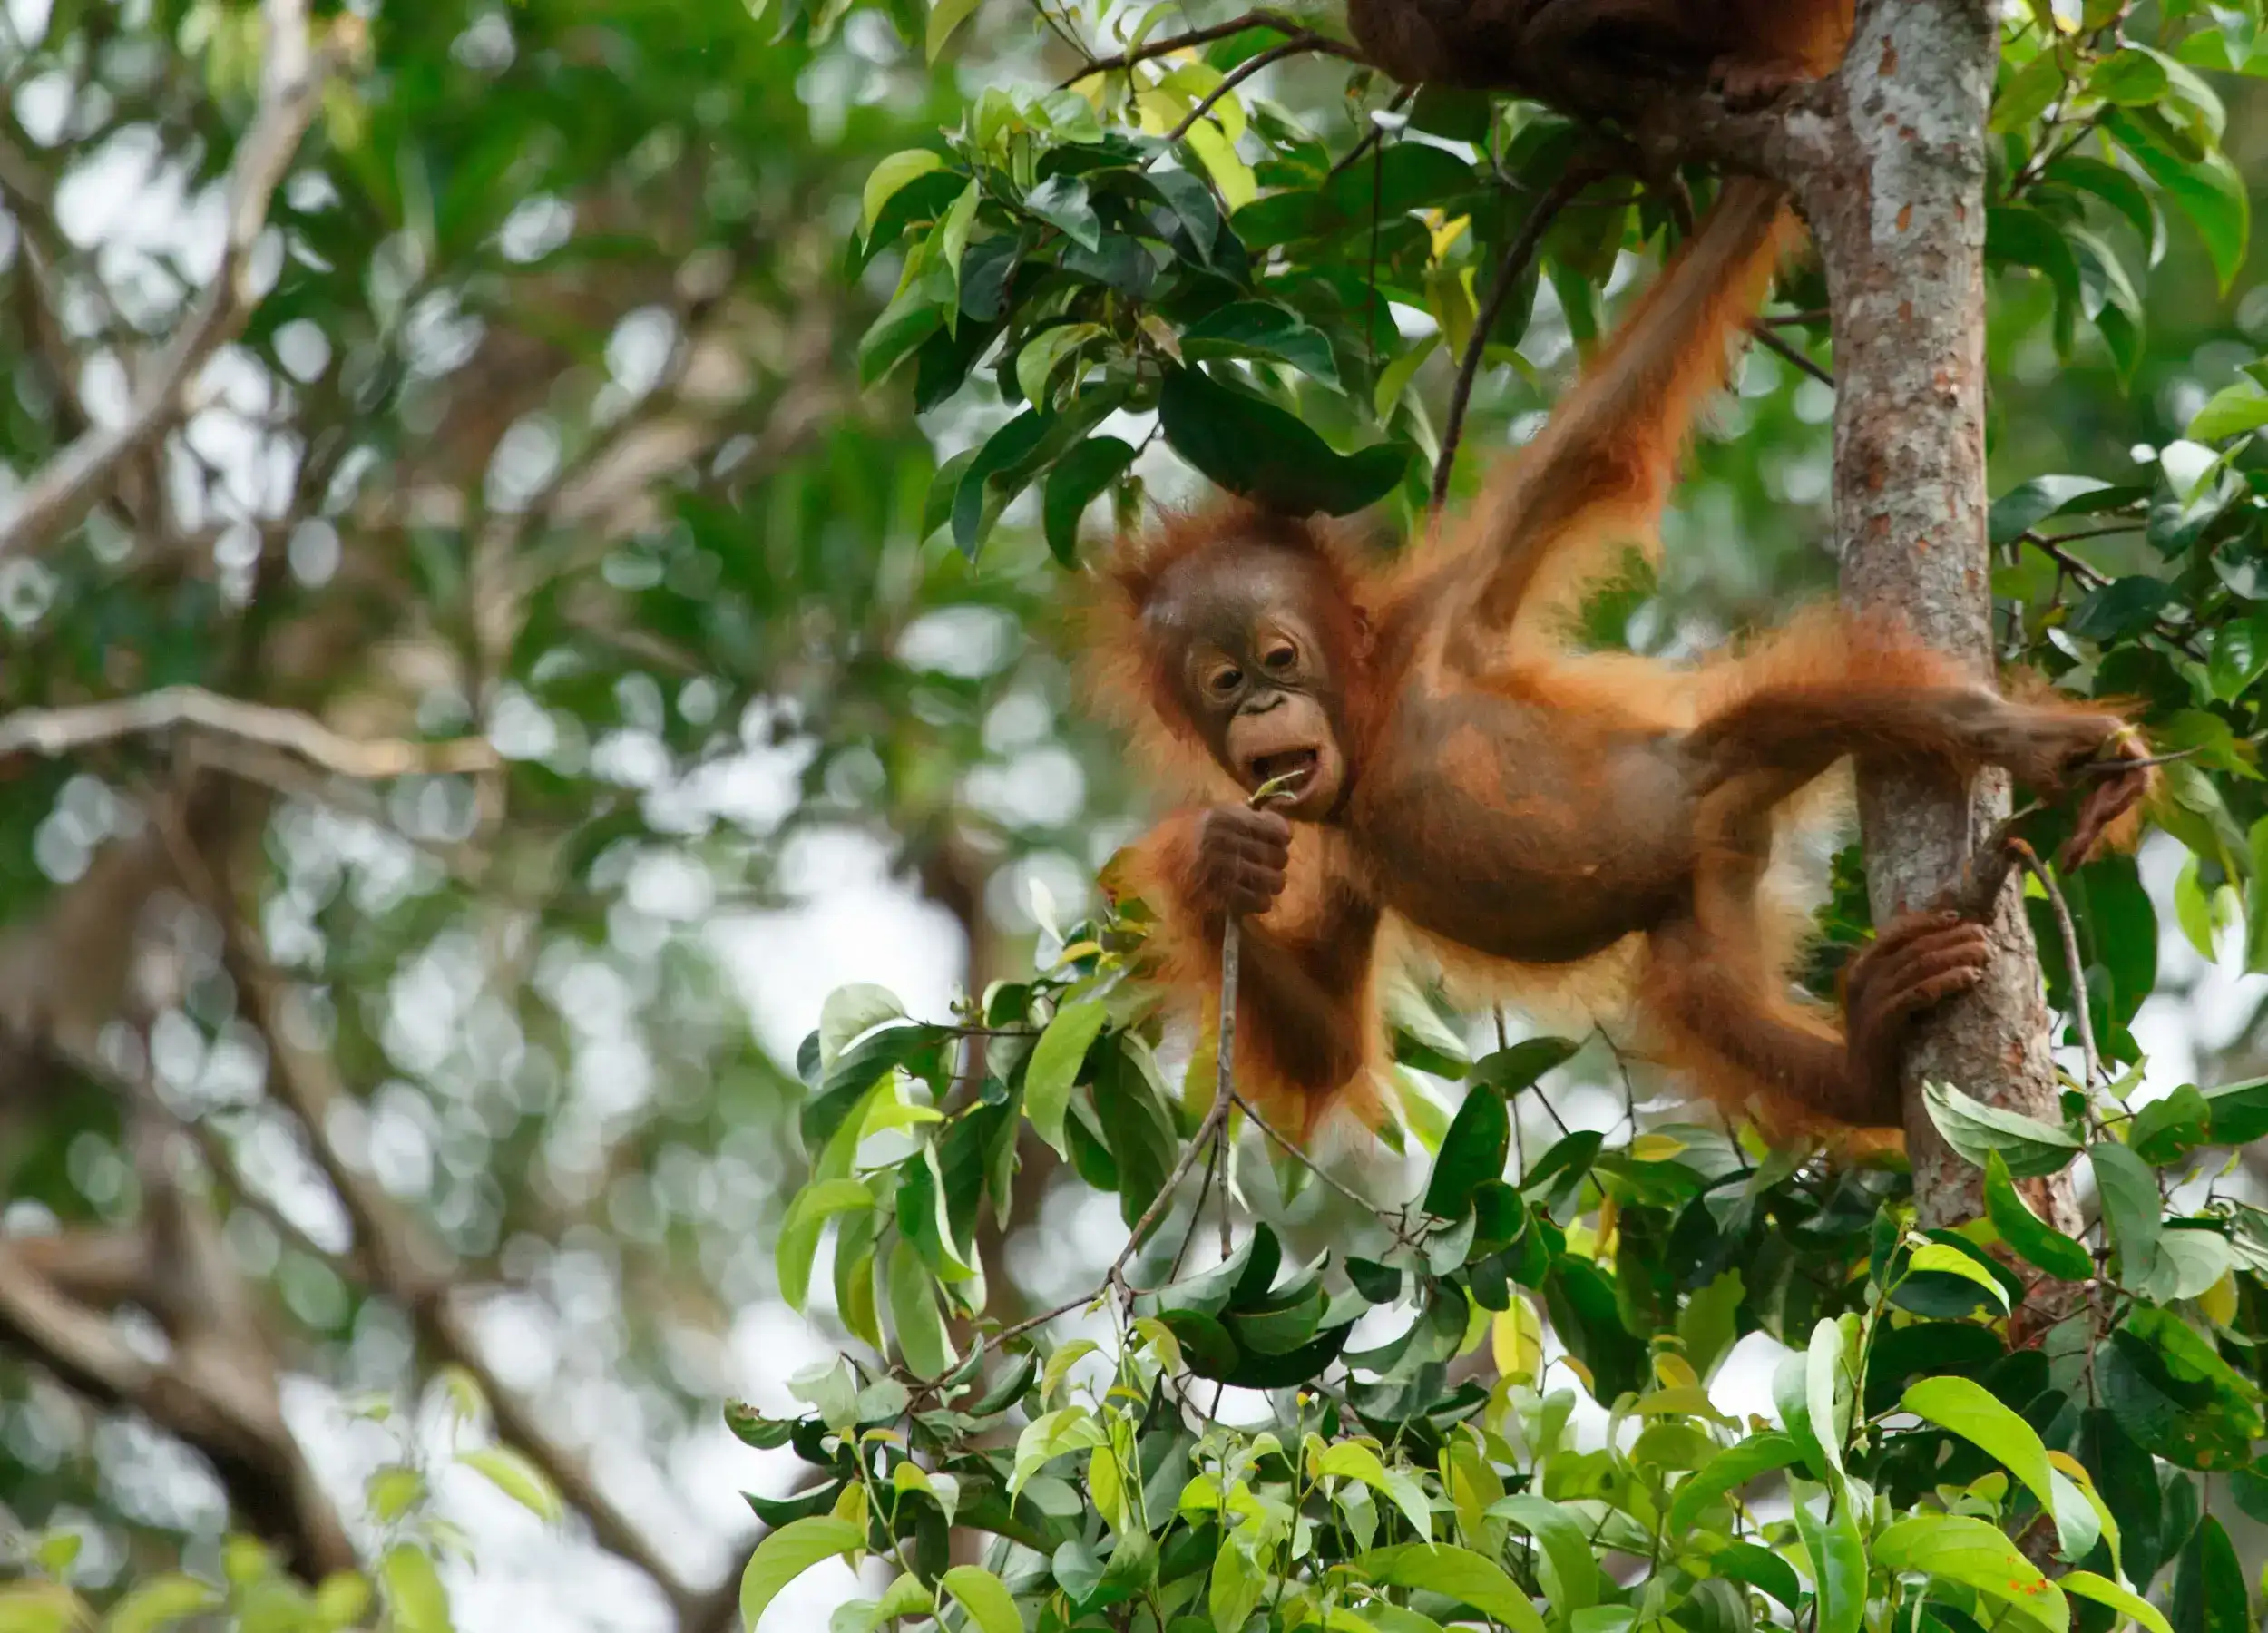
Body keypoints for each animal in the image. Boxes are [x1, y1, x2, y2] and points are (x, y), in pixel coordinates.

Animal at [1089, 176, 2151, 1148]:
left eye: (1280, 656)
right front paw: (1210, 861)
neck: (1375, 729)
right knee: (1704, 997)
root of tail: (1722, 837)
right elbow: (1330, 1046)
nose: (1262, 710)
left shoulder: (1440, 618)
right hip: (1693, 911)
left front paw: (1755, 167)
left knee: (1779, 715)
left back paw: (2041, 745)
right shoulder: (1343, 853)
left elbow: (1595, 441)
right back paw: (1870, 1052)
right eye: (1225, 683)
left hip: (1712, 772)